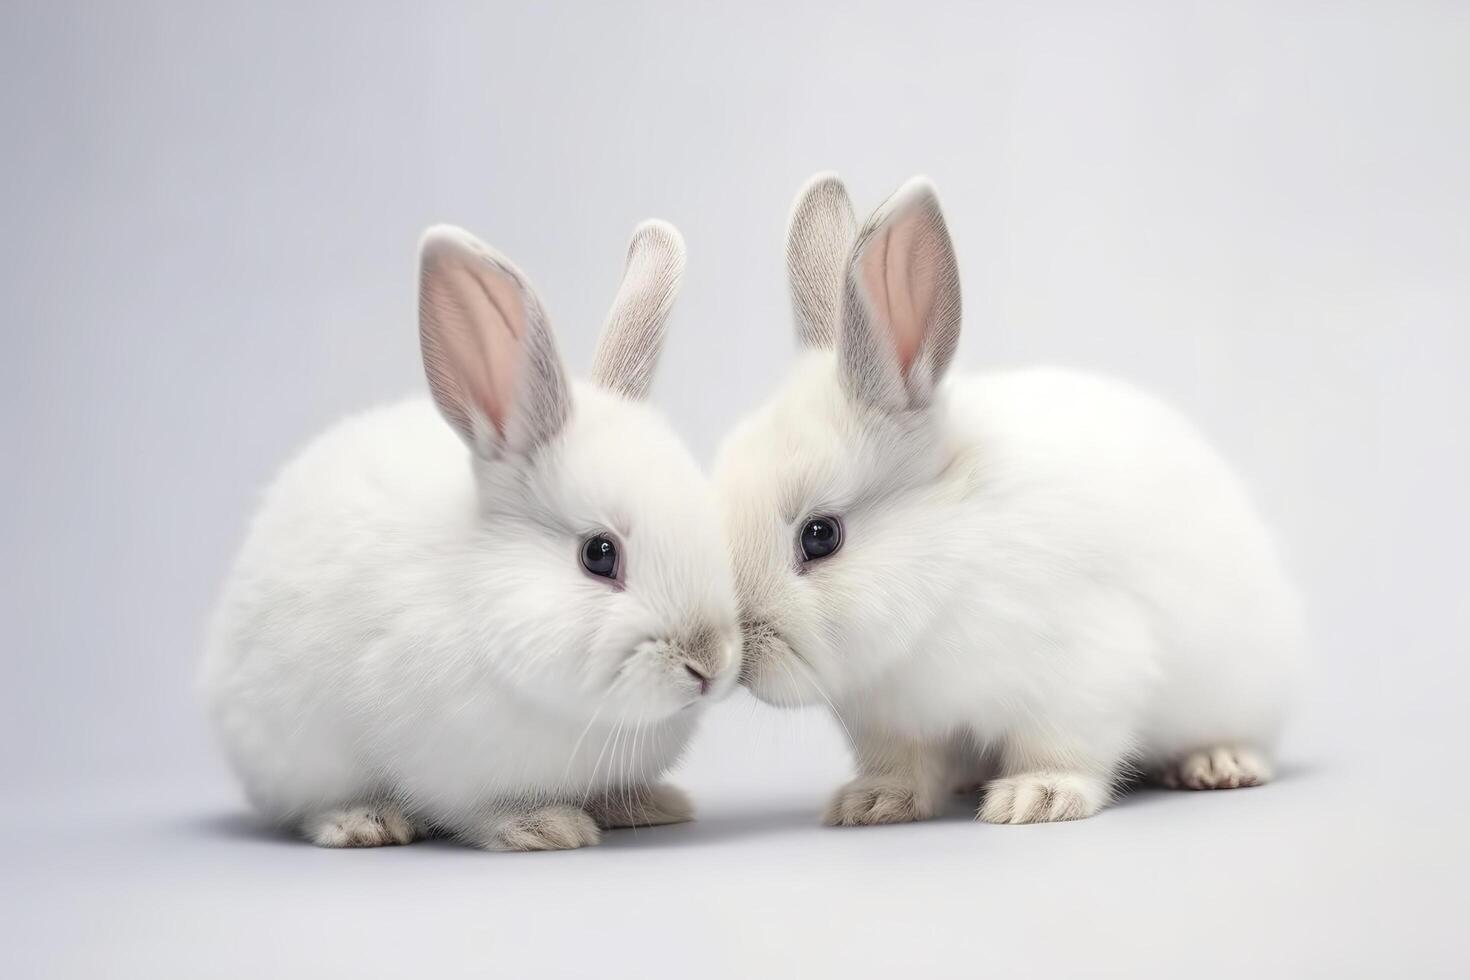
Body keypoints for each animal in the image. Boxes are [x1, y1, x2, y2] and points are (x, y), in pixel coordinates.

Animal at [201, 218, 740, 846]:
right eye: (599, 554)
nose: (709, 663)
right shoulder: (444, 768)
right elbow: (477, 811)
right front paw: (545, 827)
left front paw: (649, 804)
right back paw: (363, 822)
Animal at [717, 174, 1305, 828]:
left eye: (820, 536)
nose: (737, 655)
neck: (948, 559)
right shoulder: (889, 723)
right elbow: (903, 766)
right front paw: (871, 803)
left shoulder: (1083, 676)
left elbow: (1059, 748)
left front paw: (1035, 797)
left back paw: (1218, 765)